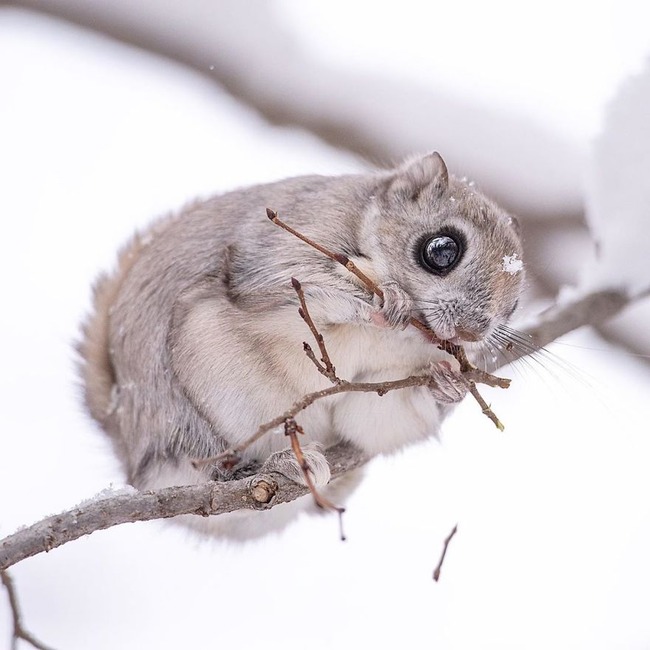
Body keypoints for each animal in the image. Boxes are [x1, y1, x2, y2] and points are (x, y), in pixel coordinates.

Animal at [78, 152, 524, 538]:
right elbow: (302, 287)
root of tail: (131, 450)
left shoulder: (381, 386)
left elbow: (378, 415)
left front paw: (446, 383)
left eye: (515, 304)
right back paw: (284, 464)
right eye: (442, 249)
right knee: (209, 473)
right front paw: (388, 301)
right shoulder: (281, 251)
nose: (471, 333)